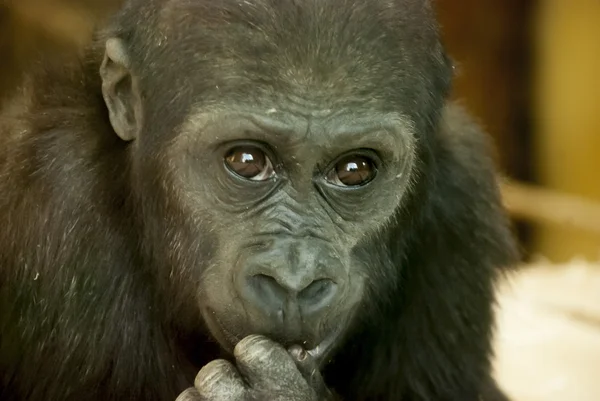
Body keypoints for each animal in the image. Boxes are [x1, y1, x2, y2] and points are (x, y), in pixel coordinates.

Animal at [0, 0, 516, 400]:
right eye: (246, 161)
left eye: (354, 171)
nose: (294, 279)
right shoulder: (55, 198)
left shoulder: (461, 197)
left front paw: (277, 392)